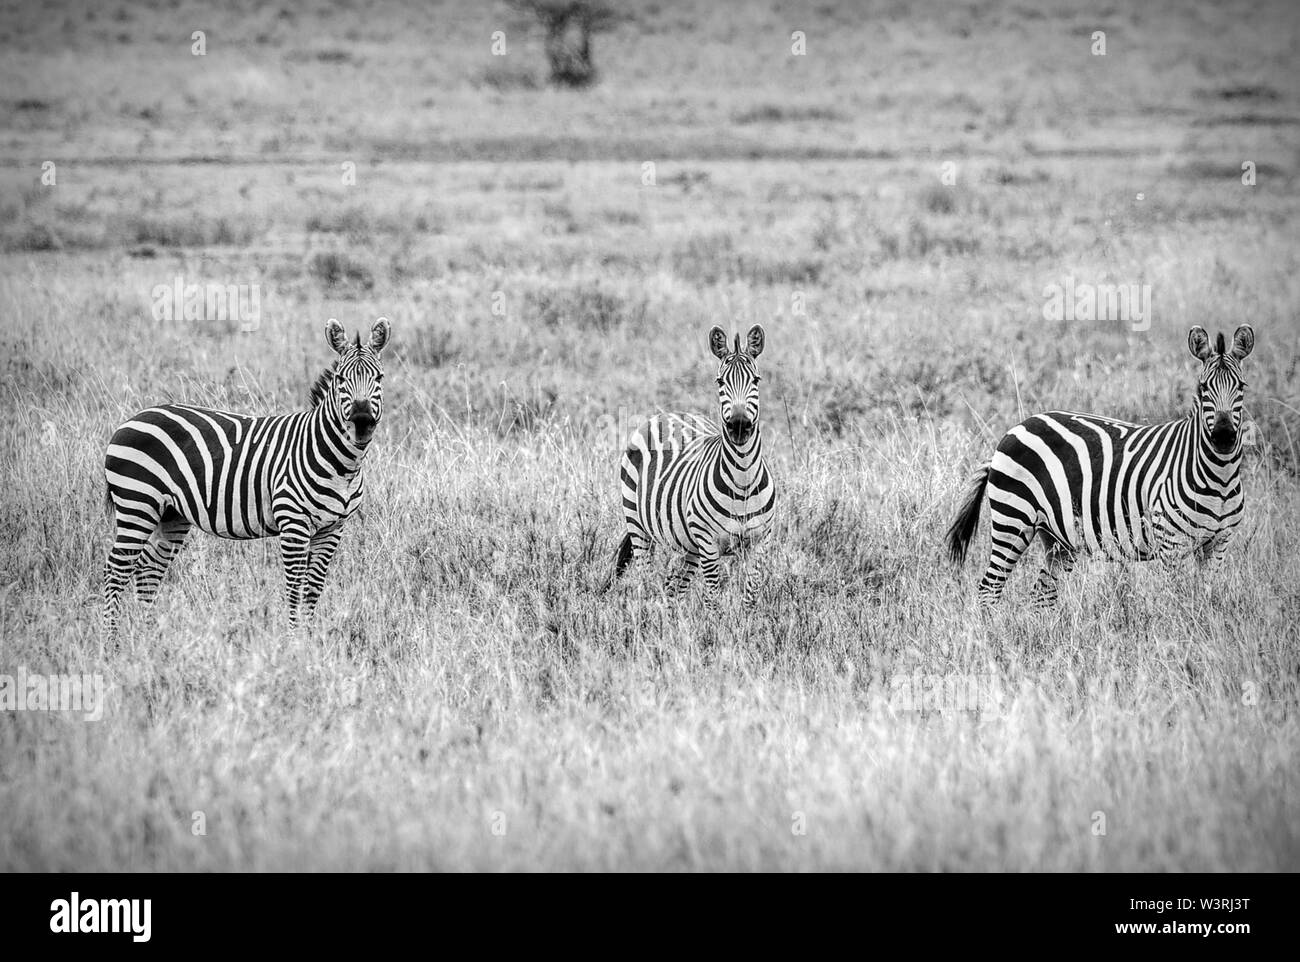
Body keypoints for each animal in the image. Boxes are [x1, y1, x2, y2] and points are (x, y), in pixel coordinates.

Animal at [102, 317, 390, 639]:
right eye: (341, 379)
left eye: (379, 378)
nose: (362, 422)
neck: (342, 466)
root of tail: (131, 420)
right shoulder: (293, 522)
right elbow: (295, 587)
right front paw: (294, 641)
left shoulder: (333, 527)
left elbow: (314, 588)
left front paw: (309, 639)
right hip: (137, 505)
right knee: (116, 570)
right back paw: (112, 641)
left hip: (171, 514)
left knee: (149, 570)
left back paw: (150, 638)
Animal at [605, 323, 774, 608]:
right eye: (720, 382)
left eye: (756, 380)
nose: (739, 426)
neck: (742, 479)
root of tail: (668, 414)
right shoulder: (708, 544)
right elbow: (713, 601)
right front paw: (716, 622)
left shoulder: (760, 542)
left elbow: (750, 598)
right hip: (638, 527)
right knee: (646, 582)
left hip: (689, 546)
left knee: (673, 590)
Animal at [946, 326, 1258, 605]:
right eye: (1204, 388)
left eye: (1241, 387)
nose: (1223, 437)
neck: (1219, 477)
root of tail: (1013, 430)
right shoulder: (1172, 544)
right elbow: (1179, 601)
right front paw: (1180, 630)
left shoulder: (1218, 543)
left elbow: (1205, 598)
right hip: (1013, 520)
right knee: (989, 589)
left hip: (1057, 536)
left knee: (1042, 594)